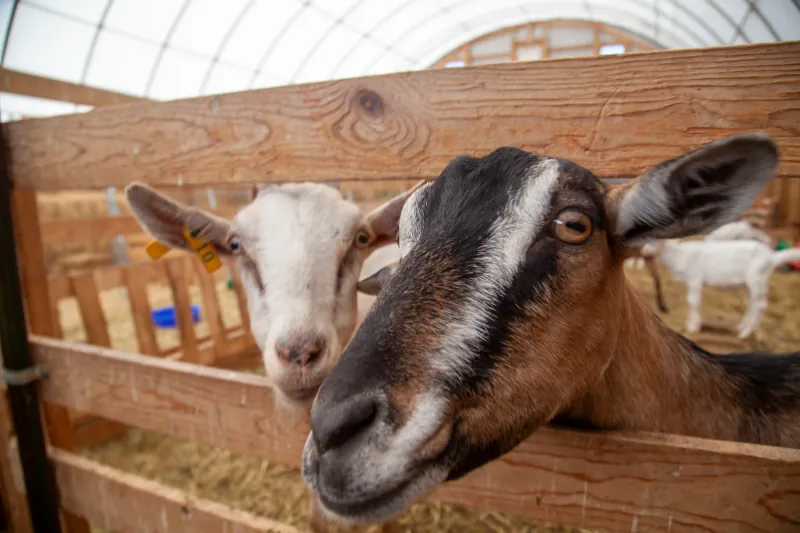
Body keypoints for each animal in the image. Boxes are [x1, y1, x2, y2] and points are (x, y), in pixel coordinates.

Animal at [644, 239, 800, 339]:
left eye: (655, 240)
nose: (644, 250)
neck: (678, 255)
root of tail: (772, 257)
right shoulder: (690, 283)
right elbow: (691, 302)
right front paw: (689, 323)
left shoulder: (695, 278)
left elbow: (693, 302)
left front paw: (693, 327)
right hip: (750, 283)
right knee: (752, 303)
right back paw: (742, 327)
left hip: (757, 278)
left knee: (760, 305)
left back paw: (745, 333)